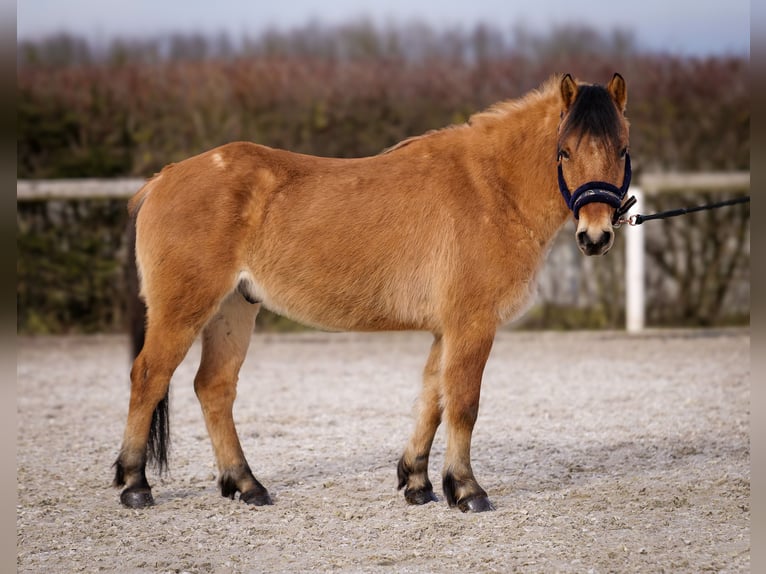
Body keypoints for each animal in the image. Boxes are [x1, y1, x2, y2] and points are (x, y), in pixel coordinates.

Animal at [112, 73, 632, 512]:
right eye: (564, 151)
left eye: (623, 149)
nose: (595, 236)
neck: (491, 188)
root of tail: (163, 179)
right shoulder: (472, 325)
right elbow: (463, 404)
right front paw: (466, 490)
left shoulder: (446, 330)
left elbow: (432, 400)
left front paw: (418, 482)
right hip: (184, 310)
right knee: (149, 377)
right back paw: (136, 485)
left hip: (233, 309)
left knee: (214, 388)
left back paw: (246, 485)